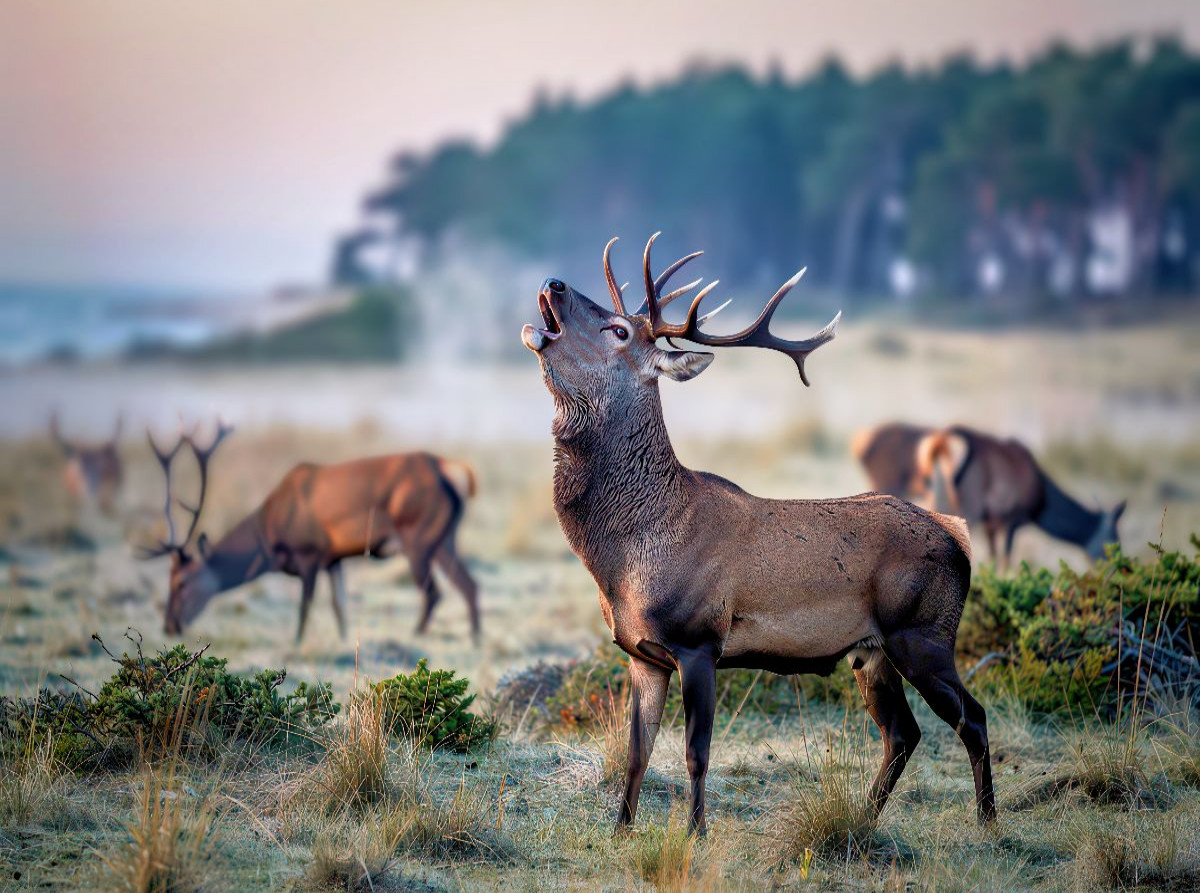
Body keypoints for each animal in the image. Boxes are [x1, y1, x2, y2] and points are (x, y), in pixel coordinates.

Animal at [141, 421, 481, 644]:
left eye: (181, 582)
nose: (169, 626)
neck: (270, 536)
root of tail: (452, 471)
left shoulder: (310, 554)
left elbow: (304, 609)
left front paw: (297, 644)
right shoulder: (334, 560)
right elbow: (339, 607)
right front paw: (343, 641)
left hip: (417, 536)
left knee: (433, 592)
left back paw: (417, 635)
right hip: (444, 538)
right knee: (469, 585)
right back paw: (475, 639)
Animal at [521, 233, 995, 836]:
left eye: (620, 330)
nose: (554, 282)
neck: (625, 558)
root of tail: (958, 536)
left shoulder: (699, 639)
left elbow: (696, 751)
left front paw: (695, 833)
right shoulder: (641, 653)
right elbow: (637, 751)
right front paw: (620, 829)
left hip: (924, 633)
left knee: (971, 717)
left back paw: (988, 823)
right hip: (872, 651)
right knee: (902, 731)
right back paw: (864, 819)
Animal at [915, 426, 1125, 572]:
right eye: (1114, 539)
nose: (1118, 569)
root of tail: (941, 441)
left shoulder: (991, 524)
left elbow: (993, 560)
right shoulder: (1011, 520)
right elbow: (1005, 561)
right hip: (966, 509)